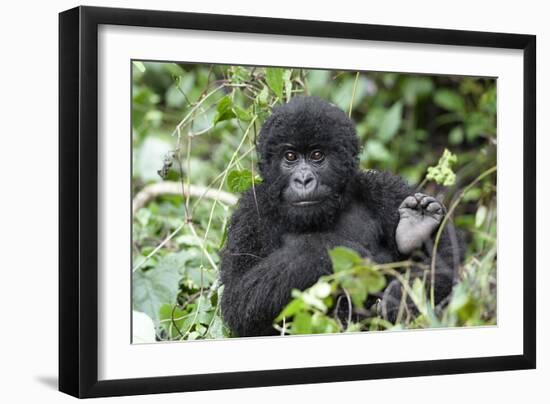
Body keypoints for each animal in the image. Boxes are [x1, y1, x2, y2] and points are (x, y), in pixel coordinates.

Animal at [221, 95, 466, 338]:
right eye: (290, 157)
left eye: (317, 155)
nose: (303, 180)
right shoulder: (250, 216)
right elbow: (240, 301)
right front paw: (335, 252)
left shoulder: (384, 188)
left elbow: (446, 258)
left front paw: (400, 297)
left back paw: (415, 229)